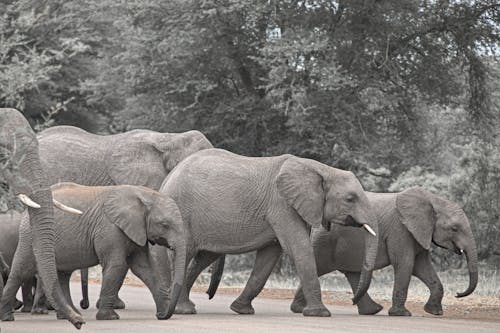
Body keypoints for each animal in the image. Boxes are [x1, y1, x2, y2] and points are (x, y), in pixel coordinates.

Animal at [0, 182, 187, 320]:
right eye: (165, 225)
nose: (162, 315)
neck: (144, 195)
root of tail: (26, 210)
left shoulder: (136, 231)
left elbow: (145, 268)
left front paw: (163, 314)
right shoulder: (110, 228)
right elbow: (118, 266)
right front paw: (109, 317)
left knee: (62, 275)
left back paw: (70, 315)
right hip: (30, 236)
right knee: (22, 270)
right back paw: (8, 317)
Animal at [156, 148, 378, 316]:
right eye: (350, 199)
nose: (352, 301)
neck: (320, 168)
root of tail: (167, 179)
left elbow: (269, 256)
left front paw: (241, 310)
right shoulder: (282, 205)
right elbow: (299, 248)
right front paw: (320, 314)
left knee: (204, 257)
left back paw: (183, 306)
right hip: (183, 213)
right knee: (186, 254)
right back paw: (184, 310)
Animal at [290, 188, 480, 316]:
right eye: (454, 228)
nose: (458, 293)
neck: (432, 200)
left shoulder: (419, 232)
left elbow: (422, 267)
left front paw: (434, 312)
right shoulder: (400, 230)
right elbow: (406, 264)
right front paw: (402, 314)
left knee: (353, 273)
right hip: (325, 240)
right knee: (318, 266)